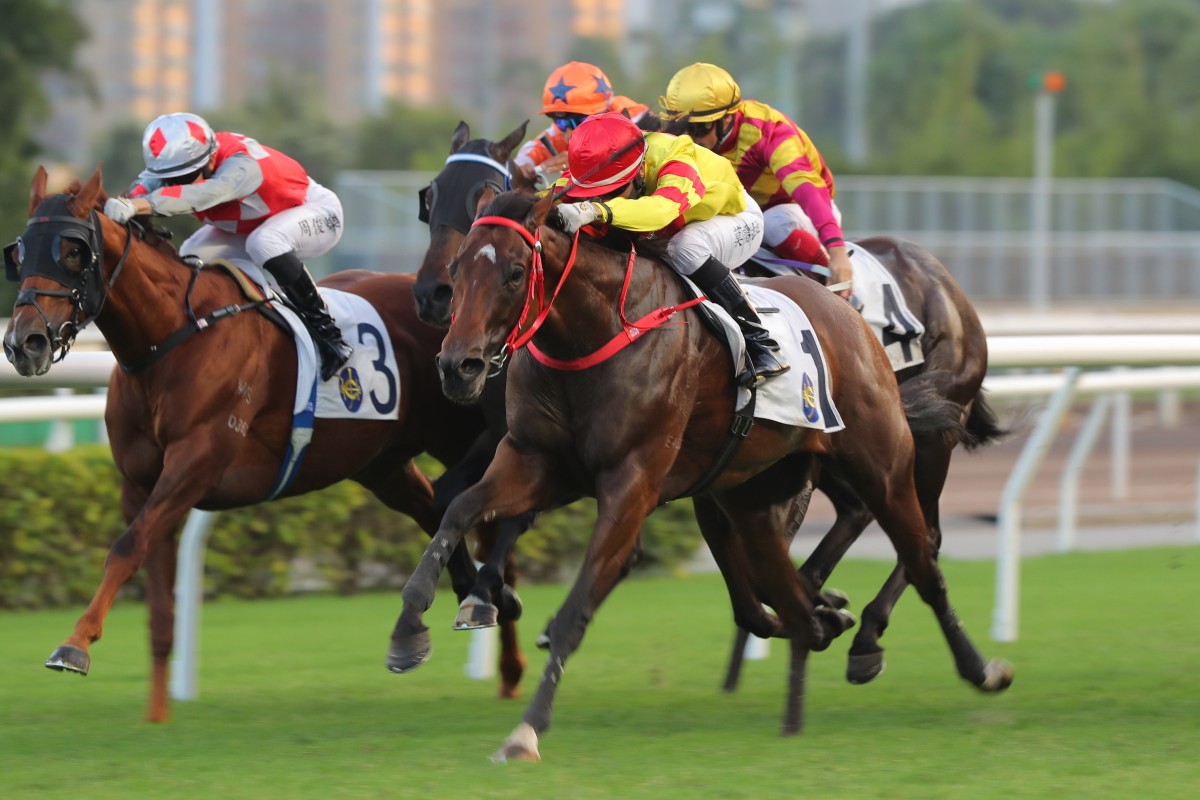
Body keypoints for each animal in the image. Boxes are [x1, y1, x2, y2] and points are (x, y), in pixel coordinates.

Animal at [1, 164, 525, 719]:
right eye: (19, 252)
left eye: (72, 251)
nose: (23, 342)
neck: (171, 338)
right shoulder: (139, 482)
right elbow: (155, 597)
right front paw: (157, 713)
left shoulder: (195, 464)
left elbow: (125, 548)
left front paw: (73, 645)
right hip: (381, 462)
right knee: (436, 507)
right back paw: (467, 610)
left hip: (466, 435)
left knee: (487, 511)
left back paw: (501, 638)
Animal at [384, 190, 1012, 762]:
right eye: (460, 267)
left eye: (515, 273)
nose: (457, 366)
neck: (593, 333)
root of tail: (852, 315)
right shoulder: (536, 461)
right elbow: (458, 509)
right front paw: (411, 628)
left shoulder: (631, 483)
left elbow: (575, 608)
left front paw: (527, 729)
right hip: (752, 495)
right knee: (781, 589)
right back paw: (820, 628)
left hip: (888, 462)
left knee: (923, 555)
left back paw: (969, 665)